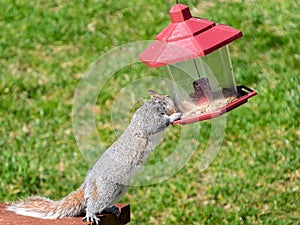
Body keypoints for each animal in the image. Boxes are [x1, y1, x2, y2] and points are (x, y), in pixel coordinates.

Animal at [6, 90, 180, 224]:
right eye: (164, 99)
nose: (171, 98)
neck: (151, 107)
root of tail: (88, 184)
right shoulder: (149, 120)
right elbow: (157, 124)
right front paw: (174, 117)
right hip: (106, 188)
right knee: (92, 204)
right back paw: (91, 213)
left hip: (120, 189)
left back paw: (110, 208)